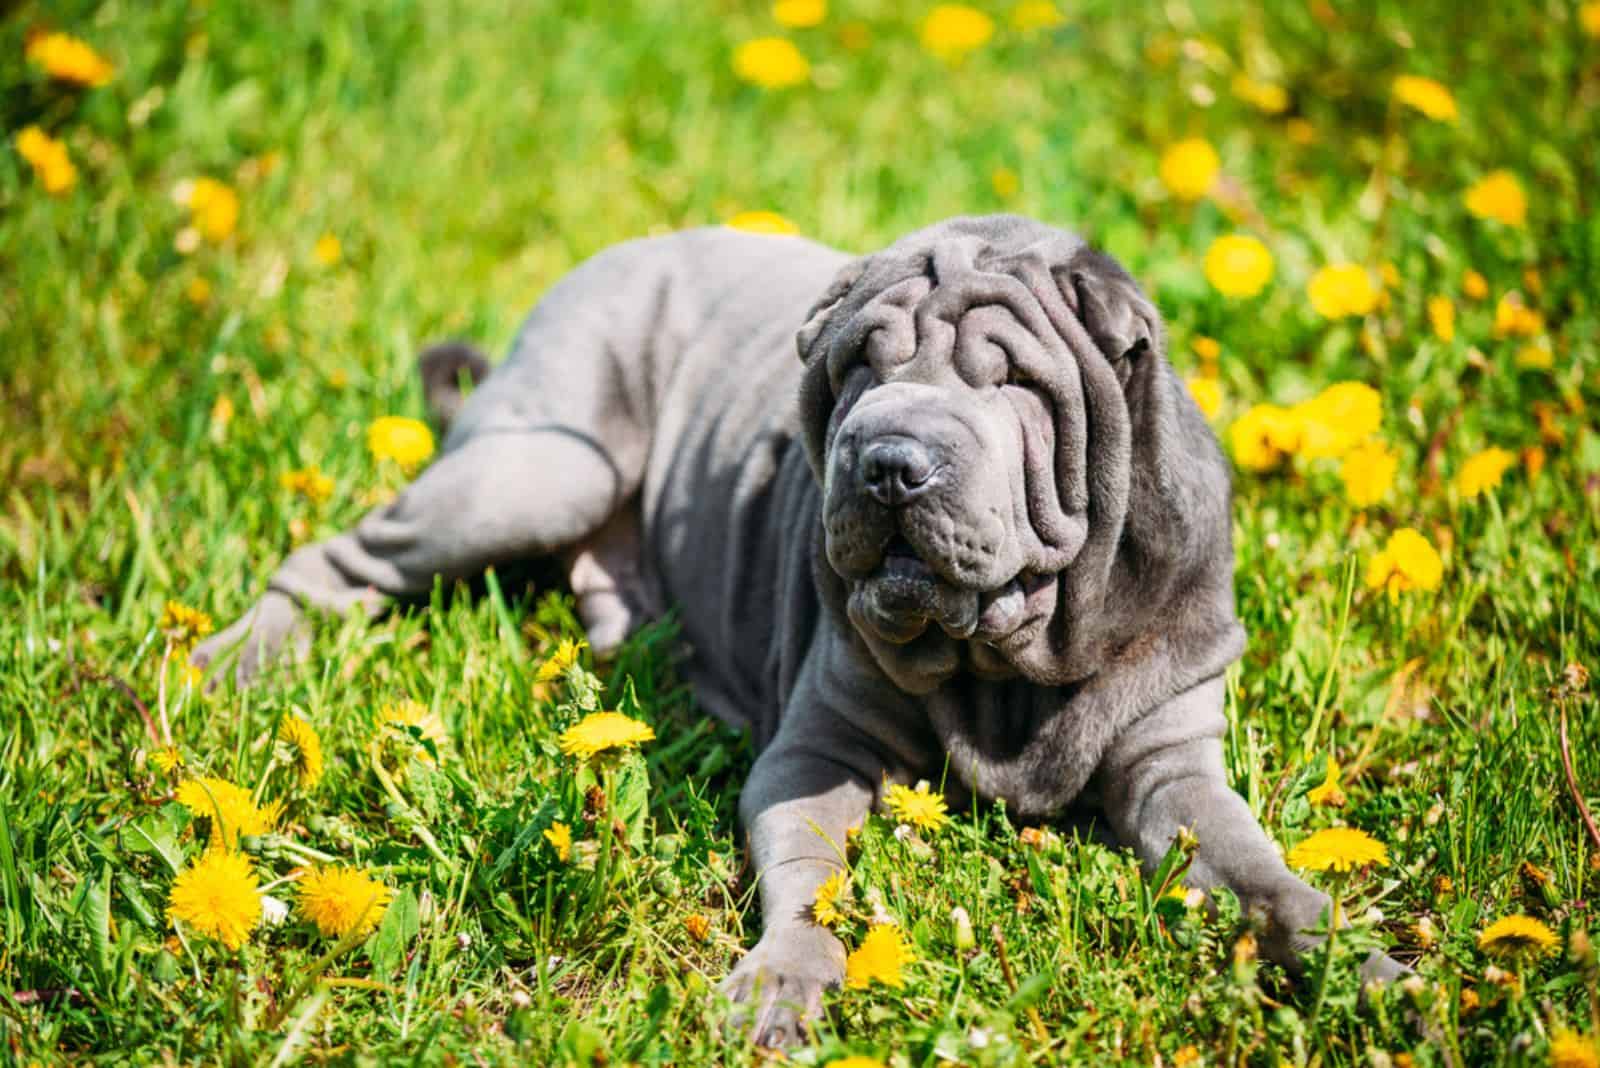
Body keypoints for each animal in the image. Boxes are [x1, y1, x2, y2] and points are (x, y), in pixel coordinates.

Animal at [196, 214, 1401, 1042]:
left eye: (1010, 382)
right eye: (862, 367)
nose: (890, 463)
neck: (1006, 656)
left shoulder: (1171, 761)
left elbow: (1260, 874)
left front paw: (1367, 973)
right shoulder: (818, 748)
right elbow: (810, 873)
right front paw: (785, 979)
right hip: (539, 465)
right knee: (339, 561)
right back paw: (233, 660)